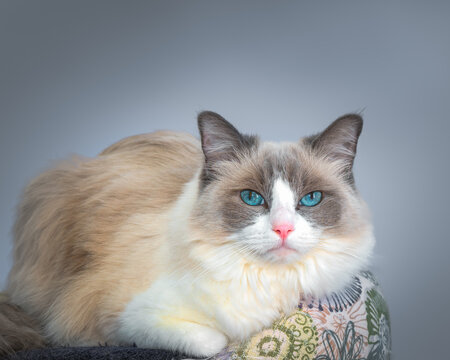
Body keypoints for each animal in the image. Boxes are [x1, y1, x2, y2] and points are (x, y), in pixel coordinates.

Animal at [0, 111, 372, 356]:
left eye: (310, 199)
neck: (263, 280)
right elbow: (211, 342)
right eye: (252, 198)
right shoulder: (121, 315)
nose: (283, 228)